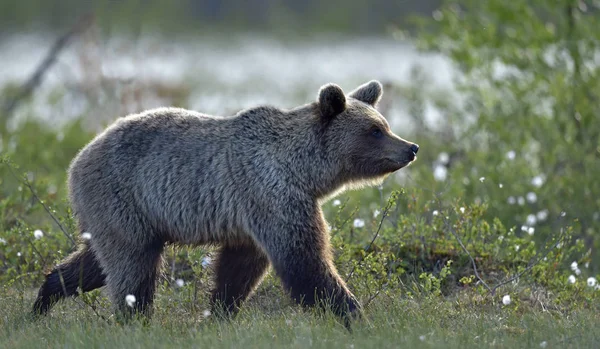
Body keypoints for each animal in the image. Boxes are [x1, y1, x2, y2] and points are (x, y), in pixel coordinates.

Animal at [31, 80, 418, 328]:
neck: (305, 171)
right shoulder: (270, 192)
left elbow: (240, 269)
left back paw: (43, 300)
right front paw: (356, 315)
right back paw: (134, 318)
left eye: (384, 124)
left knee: (96, 263)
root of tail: (77, 159)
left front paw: (219, 313)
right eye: (375, 130)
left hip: (114, 214)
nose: (411, 147)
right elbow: (304, 261)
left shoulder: (256, 215)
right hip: (122, 196)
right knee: (132, 266)